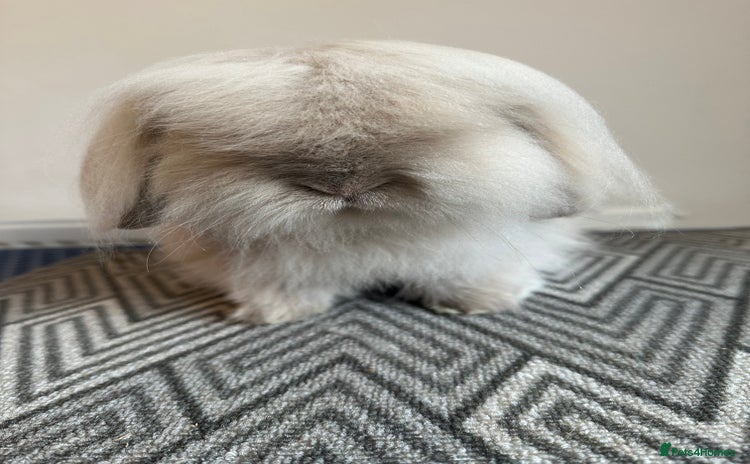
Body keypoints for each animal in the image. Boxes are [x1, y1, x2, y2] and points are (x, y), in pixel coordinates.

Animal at [80, 40, 667, 324]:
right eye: (241, 148)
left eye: (439, 138)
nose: (343, 186)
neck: (363, 238)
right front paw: (275, 315)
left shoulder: (476, 249)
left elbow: (469, 271)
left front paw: (482, 303)